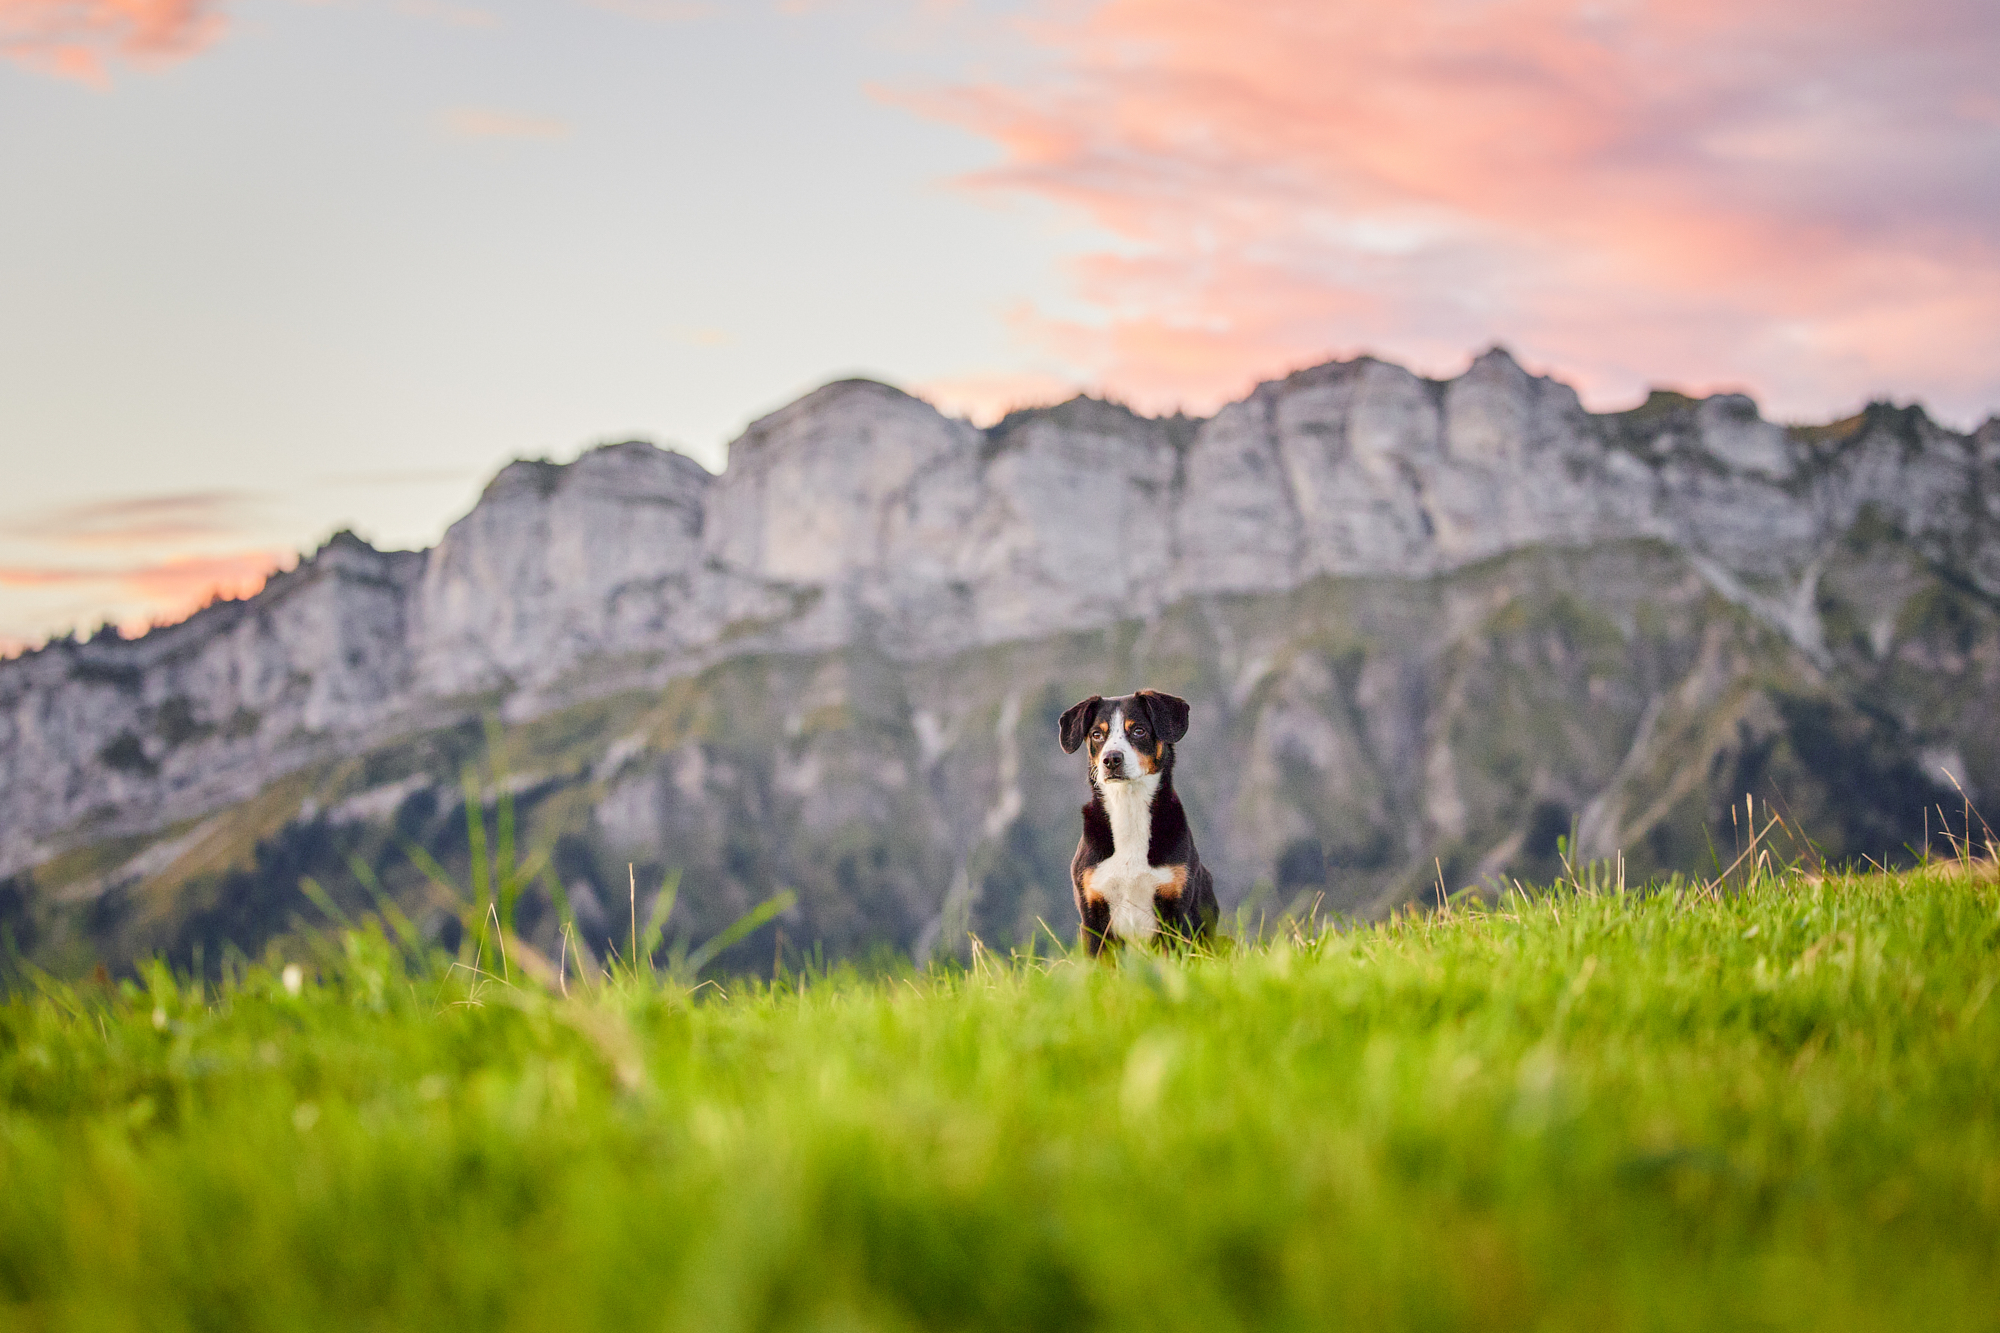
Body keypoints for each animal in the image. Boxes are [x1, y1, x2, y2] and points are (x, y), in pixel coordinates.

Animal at [1056, 688, 1208, 948]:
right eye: (1097, 734)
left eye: (1138, 730)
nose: (1111, 759)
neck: (1128, 809)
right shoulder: (1093, 914)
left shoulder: (1176, 909)